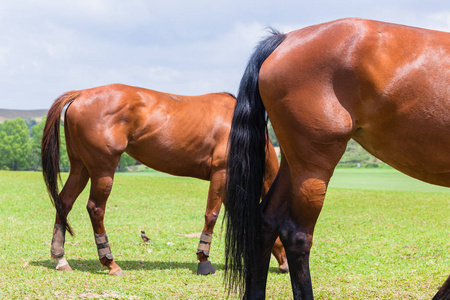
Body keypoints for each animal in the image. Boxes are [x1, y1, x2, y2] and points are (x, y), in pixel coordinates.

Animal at [42, 83, 288, 276]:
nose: (286, 265)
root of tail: (81, 94)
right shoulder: (222, 173)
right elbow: (211, 215)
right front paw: (204, 261)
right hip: (103, 170)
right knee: (95, 209)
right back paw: (110, 262)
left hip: (80, 168)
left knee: (64, 202)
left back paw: (60, 258)